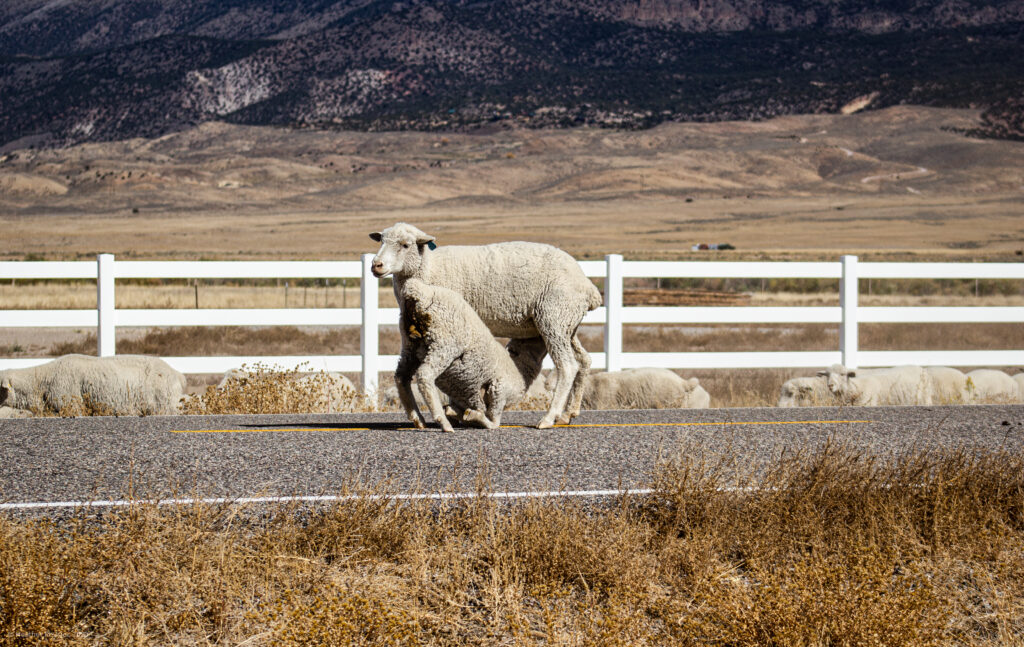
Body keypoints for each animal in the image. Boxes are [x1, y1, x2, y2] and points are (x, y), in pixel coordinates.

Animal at [397, 278, 549, 431]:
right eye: (529, 341)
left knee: (401, 378)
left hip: (410, 346)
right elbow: (494, 423)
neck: (519, 369)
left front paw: (456, 412)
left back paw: (417, 418)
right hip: (444, 345)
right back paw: (443, 422)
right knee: (424, 376)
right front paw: (473, 415)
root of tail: (420, 292)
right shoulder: (499, 390)